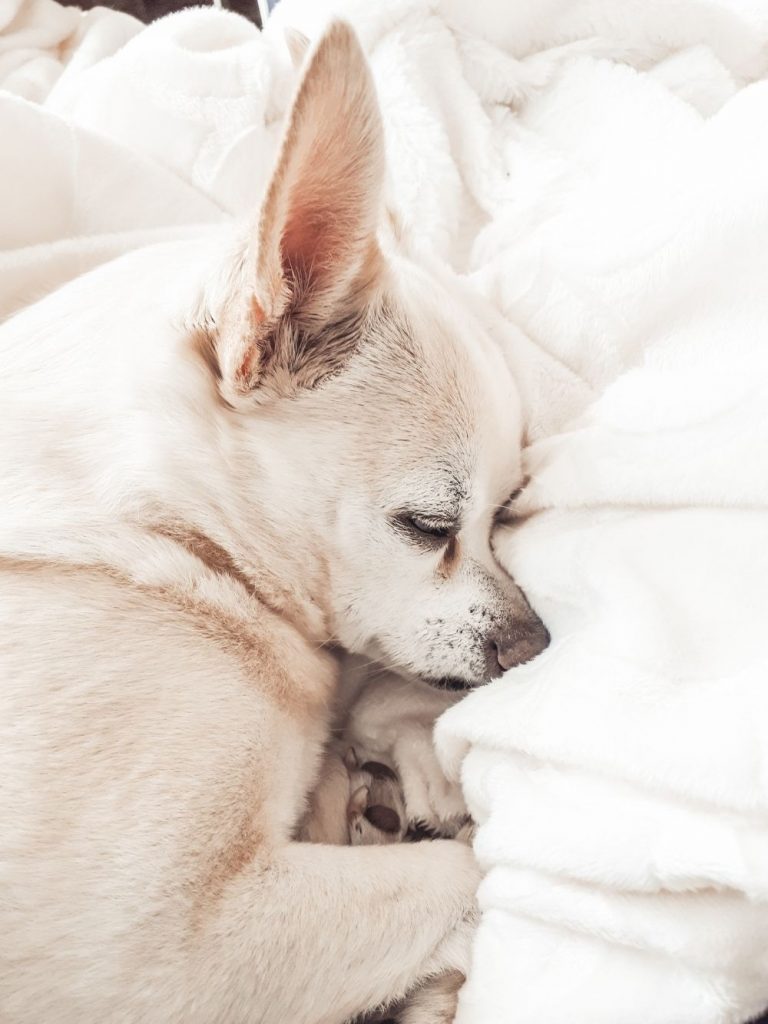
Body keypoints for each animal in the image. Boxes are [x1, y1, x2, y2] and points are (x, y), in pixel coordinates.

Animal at [0, 18, 552, 1024]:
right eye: (428, 525)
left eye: (506, 511)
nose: (536, 643)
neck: (169, 533)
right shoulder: (182, 948)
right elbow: (462, 876)